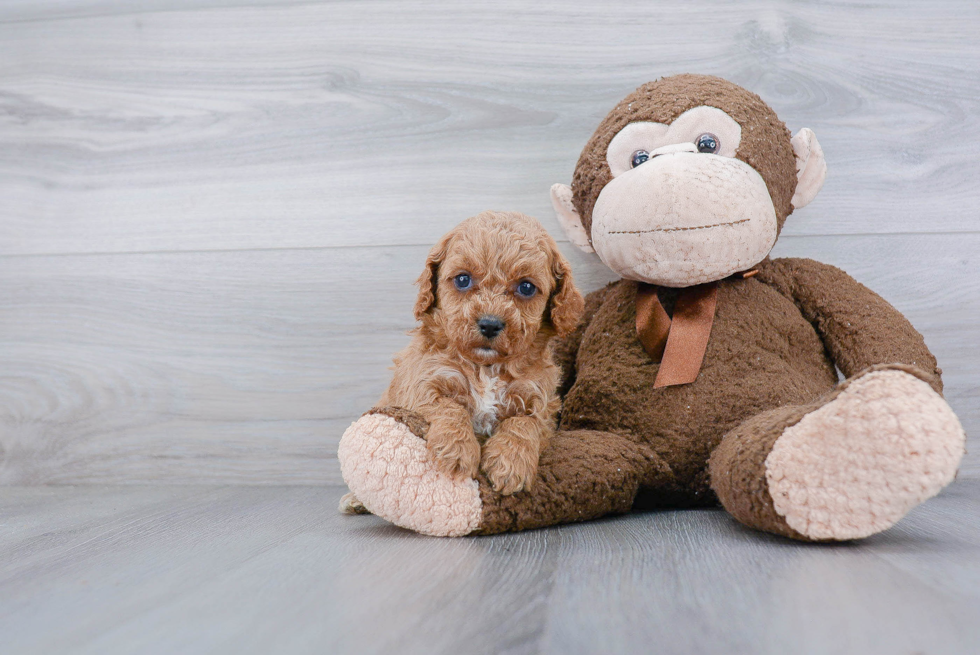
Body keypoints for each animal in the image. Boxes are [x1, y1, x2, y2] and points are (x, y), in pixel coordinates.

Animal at [340, 213, 580, 510]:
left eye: (526, 287)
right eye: (463, 279)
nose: (490, 324)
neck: (486, 368)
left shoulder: (541, 401)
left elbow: (524, 424)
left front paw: (510, 464)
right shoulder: (422, 383)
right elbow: (447, 406)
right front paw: (457, 450)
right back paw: (355, 500)